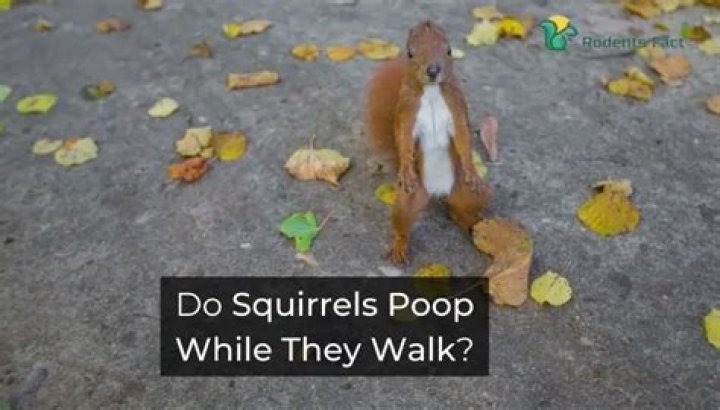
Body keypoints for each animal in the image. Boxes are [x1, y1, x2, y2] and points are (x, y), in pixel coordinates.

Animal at [365, 20, 491, 264]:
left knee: (457, 209)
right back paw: (400, 245)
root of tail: (437, 193)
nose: (433, 70)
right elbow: (404, 139)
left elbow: (463, 137)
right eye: (410, 53)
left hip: (470, 192)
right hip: (409, 200)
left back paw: (473, 222)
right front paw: (405, 168)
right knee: (403, 221)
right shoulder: (406, 112)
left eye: (449, 50)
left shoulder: (457, 107)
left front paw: (470, 168)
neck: (432, 92)